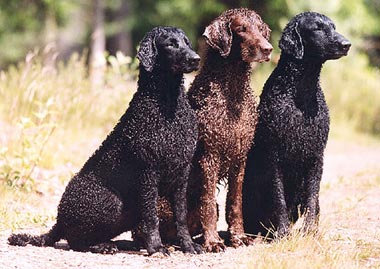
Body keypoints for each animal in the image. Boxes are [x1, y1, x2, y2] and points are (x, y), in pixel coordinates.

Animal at [8, 26, 202, 254]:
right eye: (170, 44)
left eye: (187, 42)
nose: (196, 59)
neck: (168, 104)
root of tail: (59, 220)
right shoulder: (148, 172)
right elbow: (151, 217)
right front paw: (156, 248)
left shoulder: (182, 172)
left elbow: (181, 216)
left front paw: (188, 245)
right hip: (111, 202)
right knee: (76, 241)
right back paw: (104, 246)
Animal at [243, 12, 350, 238]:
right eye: (317, 28)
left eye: (333, 27)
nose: (347, 44)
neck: (302, 92)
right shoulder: (274, 156)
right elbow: (279, 199)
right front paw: (283, 232)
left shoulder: (316, 156)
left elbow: (312, 198)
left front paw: (310, 231)